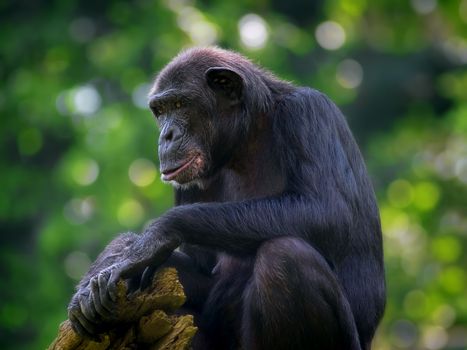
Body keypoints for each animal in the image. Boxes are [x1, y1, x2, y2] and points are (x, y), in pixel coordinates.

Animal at [66, 47, 388, 350]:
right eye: (160, 110)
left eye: (180, 104)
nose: (166, 135)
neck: (245, 141)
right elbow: (199, 265)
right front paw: (108, 262)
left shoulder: (308, 113)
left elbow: (327, 211)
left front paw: (148, 241)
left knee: (285, 256)